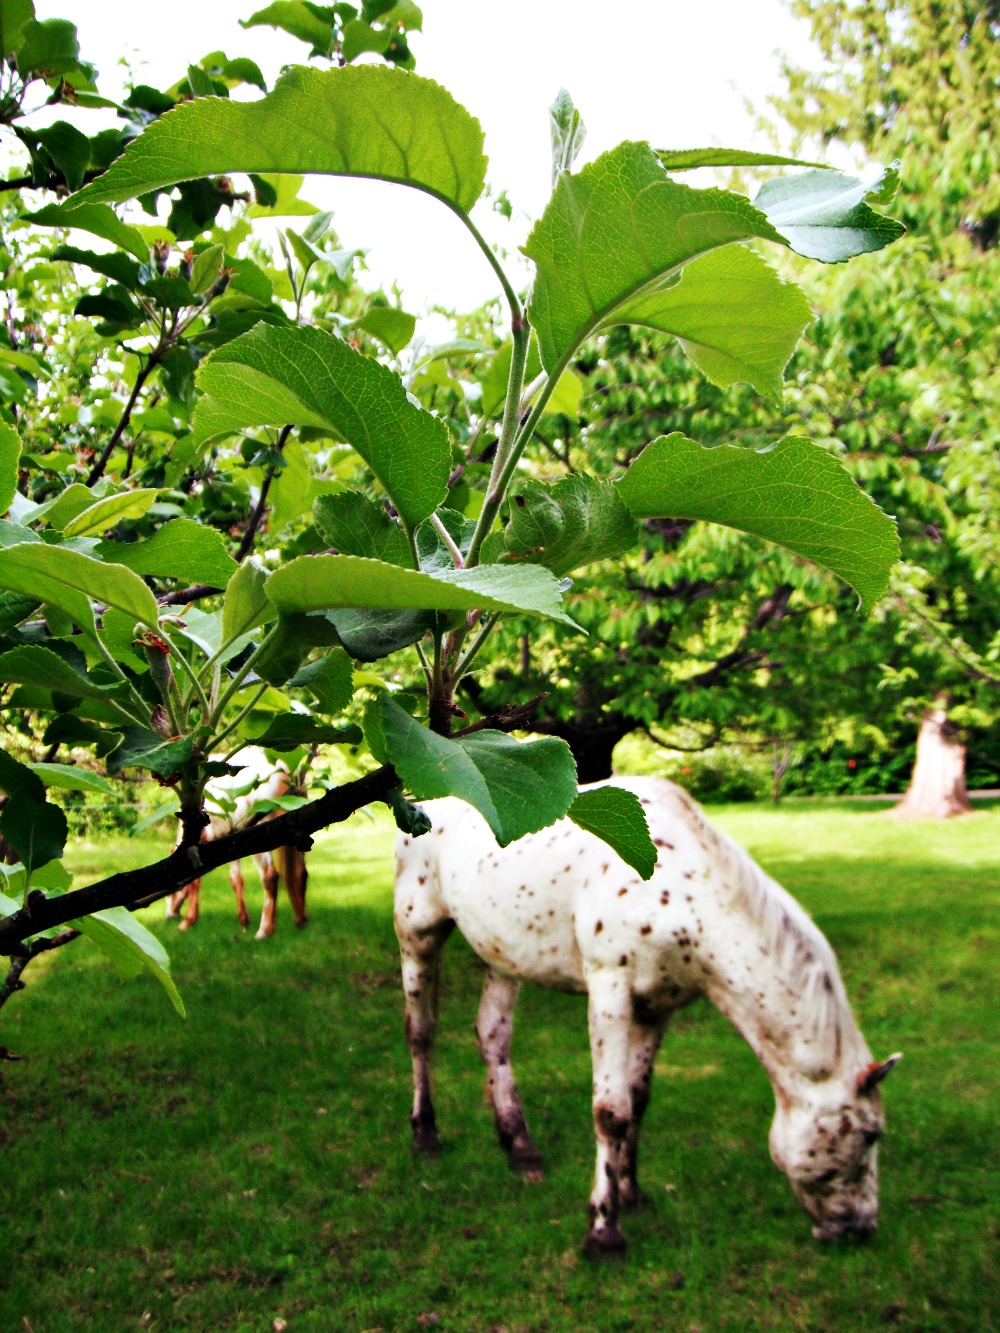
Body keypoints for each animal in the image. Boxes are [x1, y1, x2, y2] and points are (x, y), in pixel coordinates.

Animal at [165, 748, 308, 939]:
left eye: (171, 892)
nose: (169, 916)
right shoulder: (230, 842)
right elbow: (236, 880)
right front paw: (243, 920)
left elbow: (196, 882)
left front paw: (188, 921)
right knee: (300, 872)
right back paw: (300, 920)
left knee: (270, 876)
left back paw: (265, 929)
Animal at [393, 776, 901, 1256]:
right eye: (871, 1134)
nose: (860, 1228)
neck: (679, 888)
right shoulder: (609, 992)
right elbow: (610, 1112)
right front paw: (603, 1231)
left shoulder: (657, 1007)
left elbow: (637, 1100)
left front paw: (630, 1193)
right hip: (418, 933)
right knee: (421, 1032)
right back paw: (425, 1135)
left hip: (501, 957)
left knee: (492, 1037)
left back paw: (520, 1149)